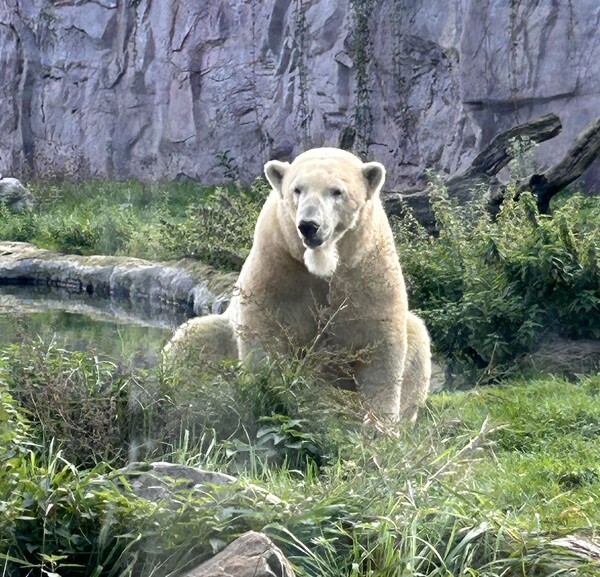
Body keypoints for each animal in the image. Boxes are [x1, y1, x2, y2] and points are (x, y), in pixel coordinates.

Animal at [168, 147, 432, 418]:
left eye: (337, 191)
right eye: (297, 189)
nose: (308, 226)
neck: (322, 263)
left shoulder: (366, 269)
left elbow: (380, 345)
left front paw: (378, 423)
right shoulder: (277, 265)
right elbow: (265, 337)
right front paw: (269, 397)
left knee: (417, 339)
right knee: (192, 340)